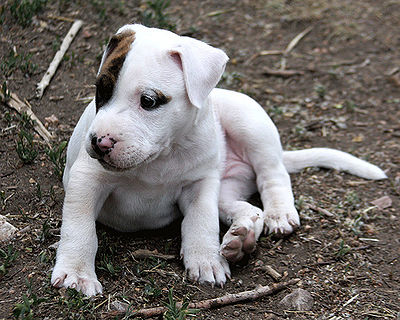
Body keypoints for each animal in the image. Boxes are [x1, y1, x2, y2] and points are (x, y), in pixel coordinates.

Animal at [51, 23, 386, 296]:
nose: (100, 143)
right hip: (226, 186)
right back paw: (242, 237)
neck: (162, 155)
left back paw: (277, 214)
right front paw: (77, 274)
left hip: (249, 123)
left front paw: (205, 260)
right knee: (249, 208)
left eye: (148, 101)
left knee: (273, 175)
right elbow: (80, 226)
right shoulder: (87, 178)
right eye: (101, 90)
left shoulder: (200, 185)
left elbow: (202, 222)